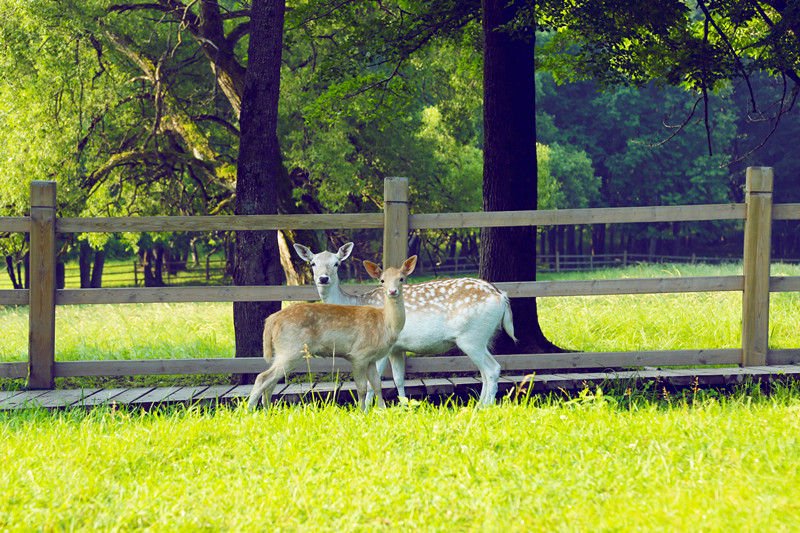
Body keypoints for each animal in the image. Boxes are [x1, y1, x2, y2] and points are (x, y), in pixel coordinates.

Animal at [247, 254, 416, 412]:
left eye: (401, 279)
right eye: (382, 280)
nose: (392, 291)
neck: (385, 323)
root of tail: (271, 319)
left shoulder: (371, 358)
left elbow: (376, 385)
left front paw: (381, 411)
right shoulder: (358, 354)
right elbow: (361, 388)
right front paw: (361, 412)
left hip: (282, 350)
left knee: (271, 382)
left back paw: (267, 410)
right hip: (291, 348)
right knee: (262, 377)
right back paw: (249, 410)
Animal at [292, 241, 512, 404]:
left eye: (337, 263)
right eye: (312, 263)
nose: (323, 278)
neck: (355, 303)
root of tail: (501, 296)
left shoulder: (380, 348)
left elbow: (374, 382)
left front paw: (370, 411)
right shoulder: (397, 349)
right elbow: (398, 379)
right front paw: (404, 407)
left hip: (471, 337)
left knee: (492, 369)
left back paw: (484, 407)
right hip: (482, 338)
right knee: (485, 371)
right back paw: (479, 405)